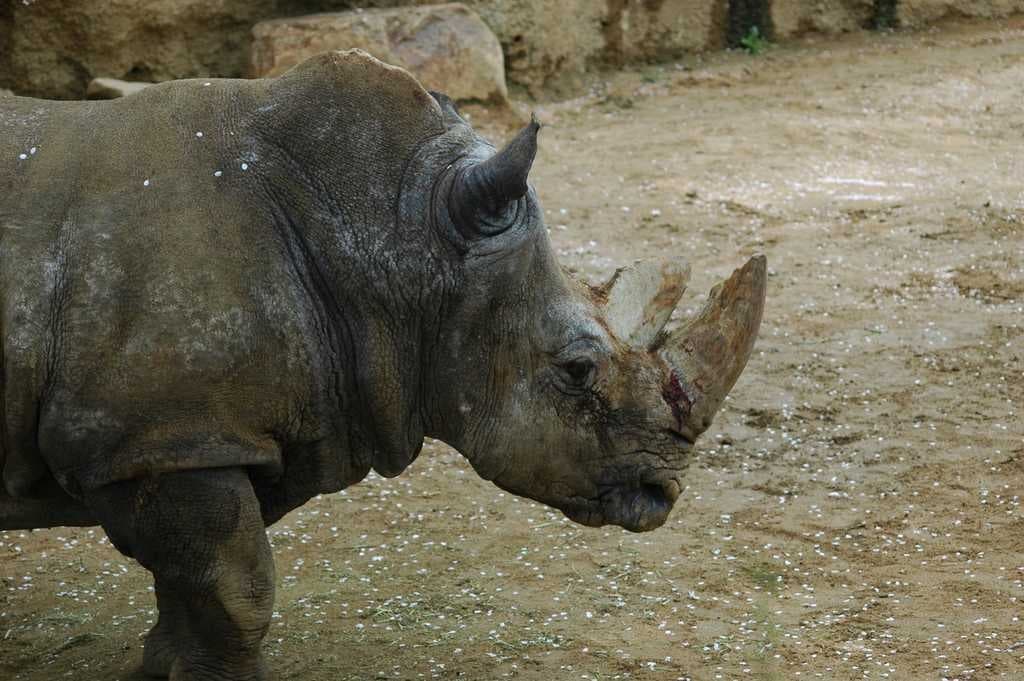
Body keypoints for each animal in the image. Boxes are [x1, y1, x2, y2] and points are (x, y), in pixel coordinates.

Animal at [0, 50, 765, 679]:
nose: (663, 491)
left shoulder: (188, 439)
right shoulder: (161, 438)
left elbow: (190, 585)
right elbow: (239, 589)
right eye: (578, 371)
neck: (396, 234)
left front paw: (160, 665)